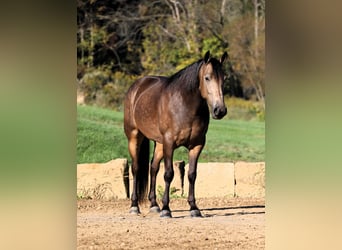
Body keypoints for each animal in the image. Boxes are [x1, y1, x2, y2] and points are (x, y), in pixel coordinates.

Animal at [123, 50, 227, 217]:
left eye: (225, 78)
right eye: (207, 77)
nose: (220, 110)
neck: (185, 106)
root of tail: (137, 86)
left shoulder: (197, 145)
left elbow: (192, 174)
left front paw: (194, 208)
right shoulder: (169, 143)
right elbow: (169, 174)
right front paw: (166, 209)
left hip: (159, 144)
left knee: (153, 168)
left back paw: (154, 205)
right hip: (134, 137)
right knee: (136, 168)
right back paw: (134, 206)